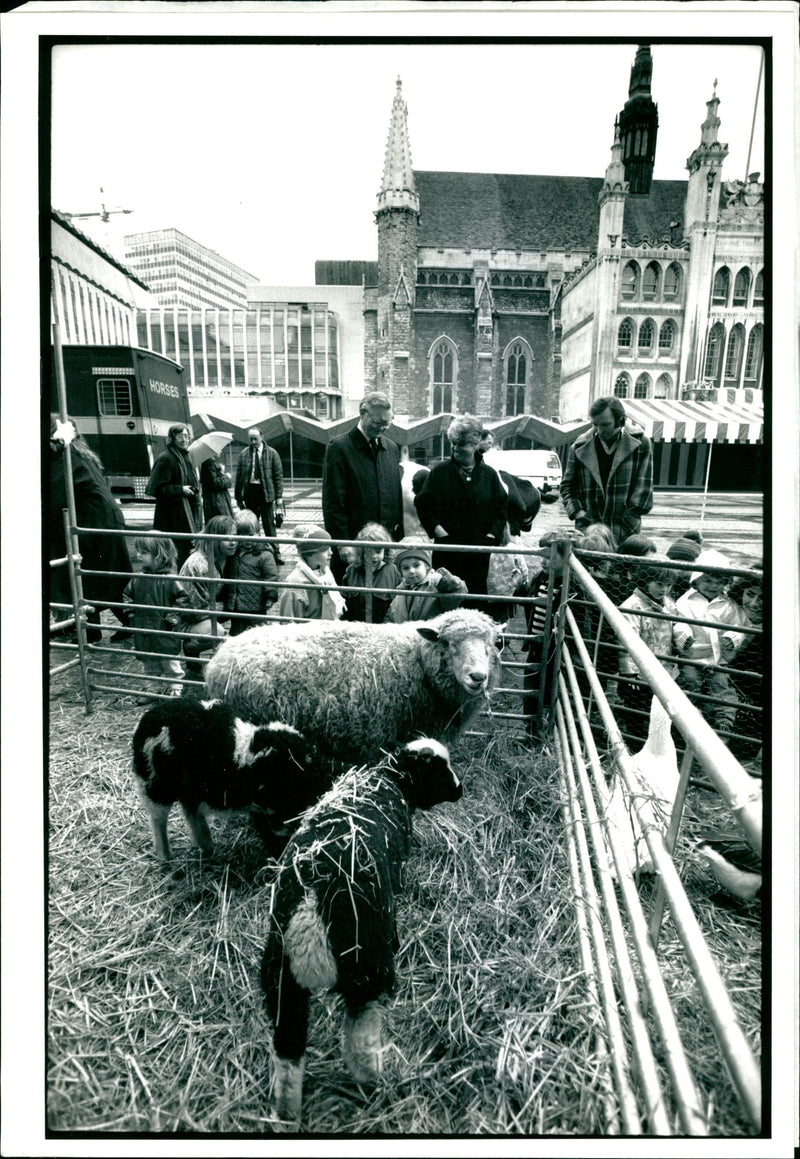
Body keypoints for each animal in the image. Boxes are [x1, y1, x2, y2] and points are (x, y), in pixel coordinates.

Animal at [131, 695, 336, 862]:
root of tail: (146, 721)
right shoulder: (268, 807)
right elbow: (274, 832)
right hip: (155, 784)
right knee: (158, 819)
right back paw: (166, 857)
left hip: (190, 788)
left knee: (192, 813)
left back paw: (208, 849)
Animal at [259, 732, 461, 1121]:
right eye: (438, 768)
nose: (460, 790)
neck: (389, 779)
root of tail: (310, 910)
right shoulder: (393, 877)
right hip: (366, 970)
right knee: (361, 1040)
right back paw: (374, 1084)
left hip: (282, 981)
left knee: (288, 1050)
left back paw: (286, 1110)